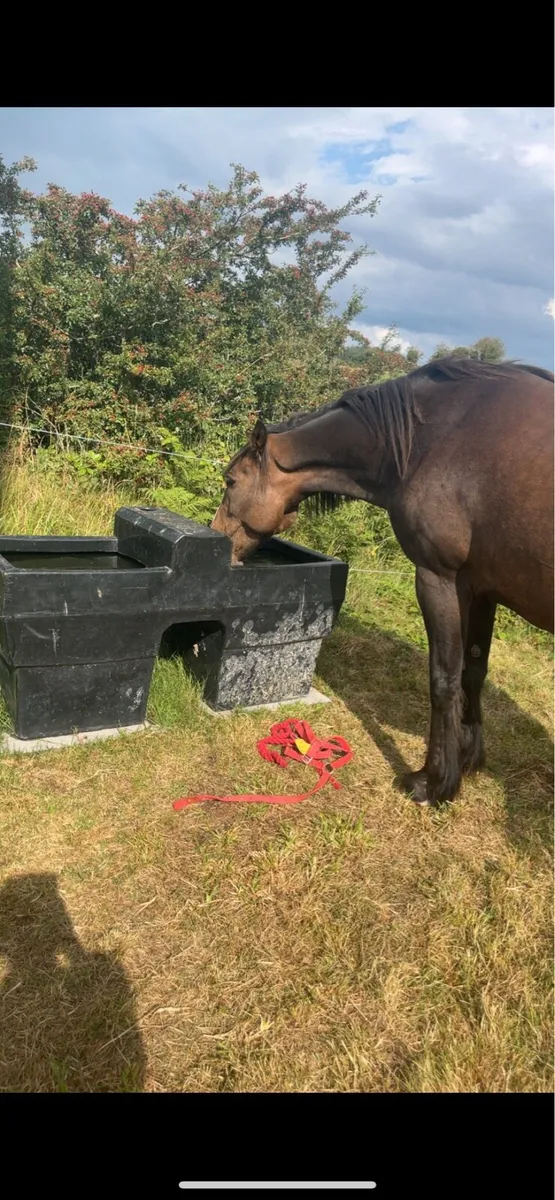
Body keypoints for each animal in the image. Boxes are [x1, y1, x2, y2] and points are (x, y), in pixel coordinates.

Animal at [211, 357, 554, 807]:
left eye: (231, 481)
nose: (217, 538)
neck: (432, 437)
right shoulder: (481, 589)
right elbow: (473, 673)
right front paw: (466, 761)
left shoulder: (438, 579)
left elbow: (444, 678)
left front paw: (434, 782)